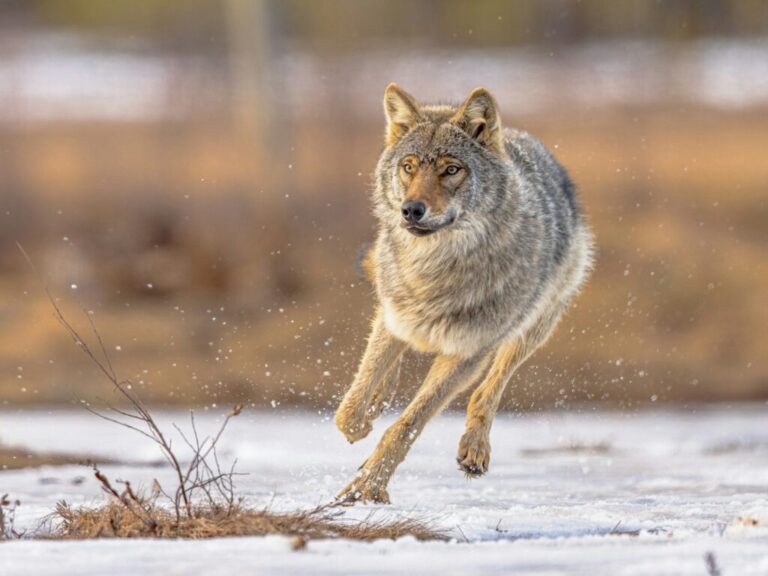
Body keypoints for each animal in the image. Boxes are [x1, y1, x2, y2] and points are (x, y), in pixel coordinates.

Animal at [332, 83, 592, 502]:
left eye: (451, 169)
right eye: (409, 167)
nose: (411, 210)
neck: (435, 271)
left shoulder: (466, 353)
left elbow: (406, 426)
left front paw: (367, 487)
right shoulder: (394, 317)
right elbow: (351, 408)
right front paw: (365, 420)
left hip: (528, 333)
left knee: (489, 391)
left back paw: (474, 449)